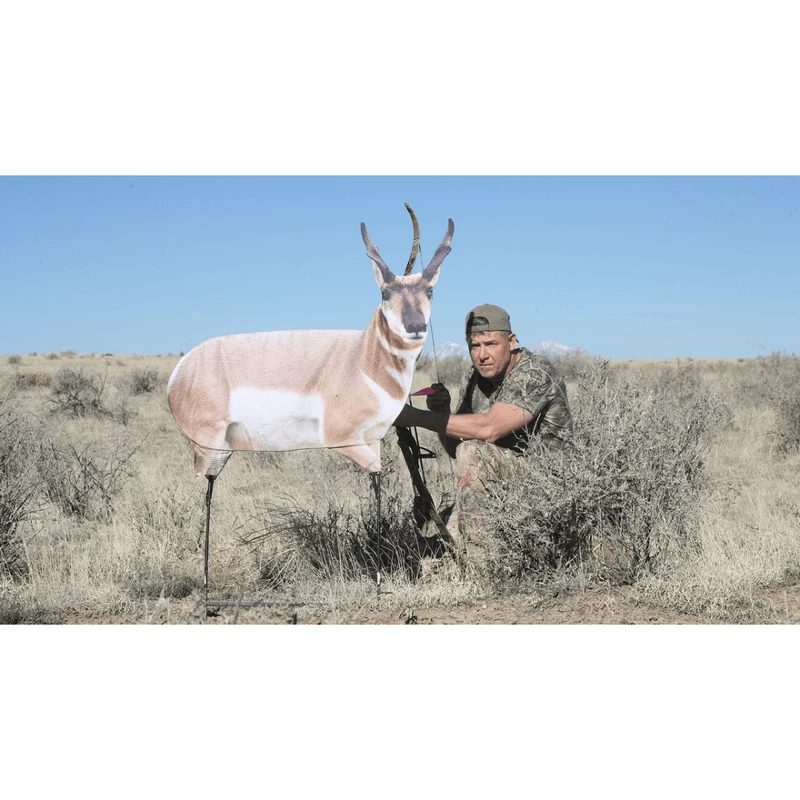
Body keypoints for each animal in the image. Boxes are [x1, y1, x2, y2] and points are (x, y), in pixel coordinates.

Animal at [167, 206, 455, 598]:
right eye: (384, 291)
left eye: (429, 289)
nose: (415, 326)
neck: (361, 358)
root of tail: (180, 370)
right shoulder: (348, 440)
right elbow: (377, 481)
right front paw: (380, 581)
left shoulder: (375, 441)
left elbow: (378, 483)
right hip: (211, 447)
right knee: (208, 490)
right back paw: (208, 585)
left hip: (220, 452)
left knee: (209, 488)